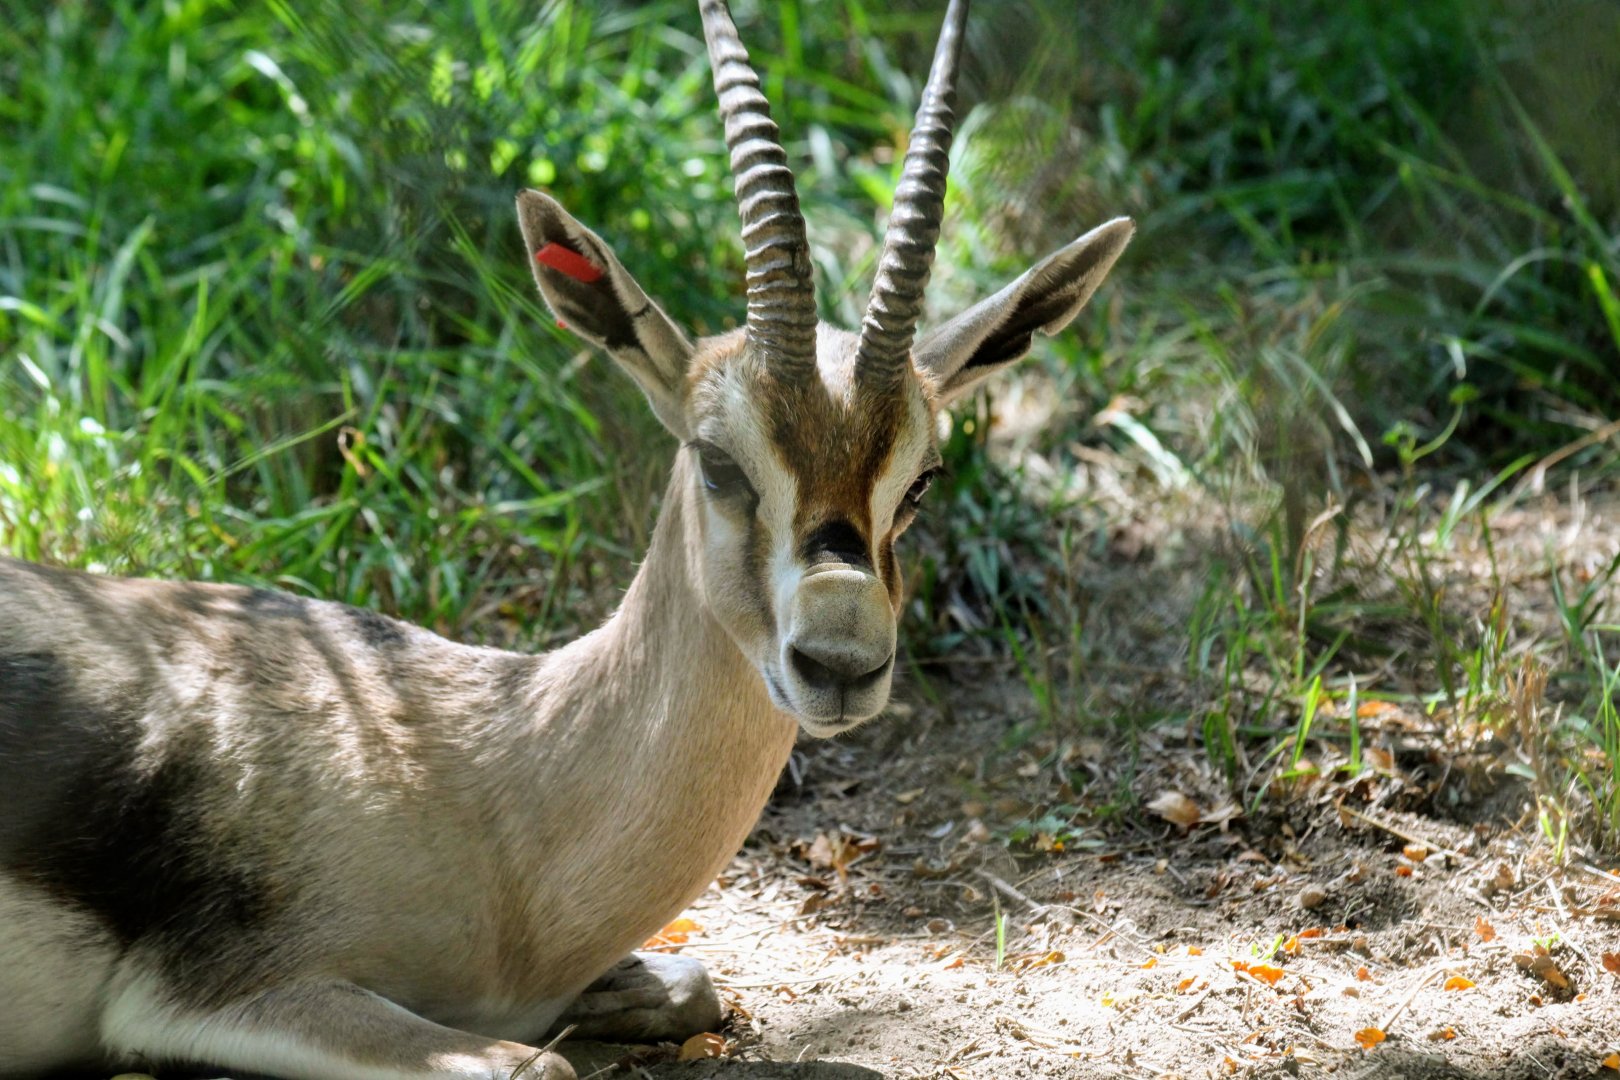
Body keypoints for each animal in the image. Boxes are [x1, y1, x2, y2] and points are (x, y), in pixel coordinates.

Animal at [0, 1, 1130, 1077]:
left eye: (922, 480)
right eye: (718, 459)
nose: (841, 662)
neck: (491, 786)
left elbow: (695, 985)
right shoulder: (213, 994)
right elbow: (537, 1066)